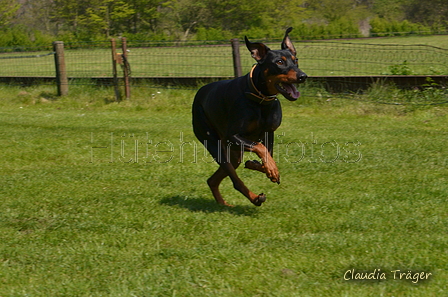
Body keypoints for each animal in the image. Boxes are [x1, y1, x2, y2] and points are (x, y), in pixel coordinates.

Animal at [191, 28, 306, 206]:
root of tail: (199, 93)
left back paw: (224, 204)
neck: (261, 100)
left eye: (296, 60)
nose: (303, 76)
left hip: (234, 153)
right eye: (279, 62)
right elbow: (261, 148)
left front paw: (262, 166)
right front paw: (272, 170)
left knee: (213, 179)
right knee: (235, 180)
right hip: (214, 143)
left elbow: (266, 155)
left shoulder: (269, 133)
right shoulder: (233, 136)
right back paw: (255, 198)